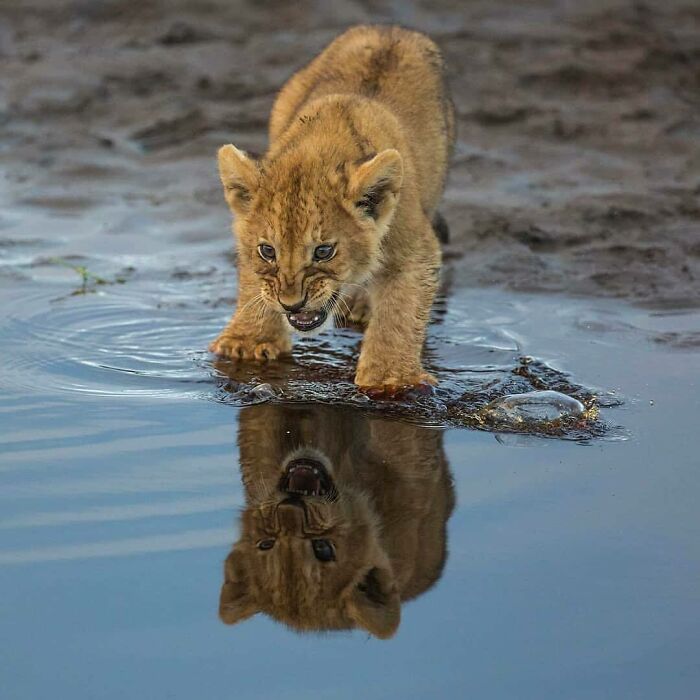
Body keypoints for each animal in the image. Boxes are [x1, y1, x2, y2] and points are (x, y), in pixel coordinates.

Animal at [209, 25, 455, 394]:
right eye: (268, 251)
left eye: (324, 251)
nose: (291, 303)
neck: (321, 148)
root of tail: (388, 28)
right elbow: (256, 283)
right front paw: (247, 343)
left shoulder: (413, 245)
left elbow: (400, 309)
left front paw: (390, 378)